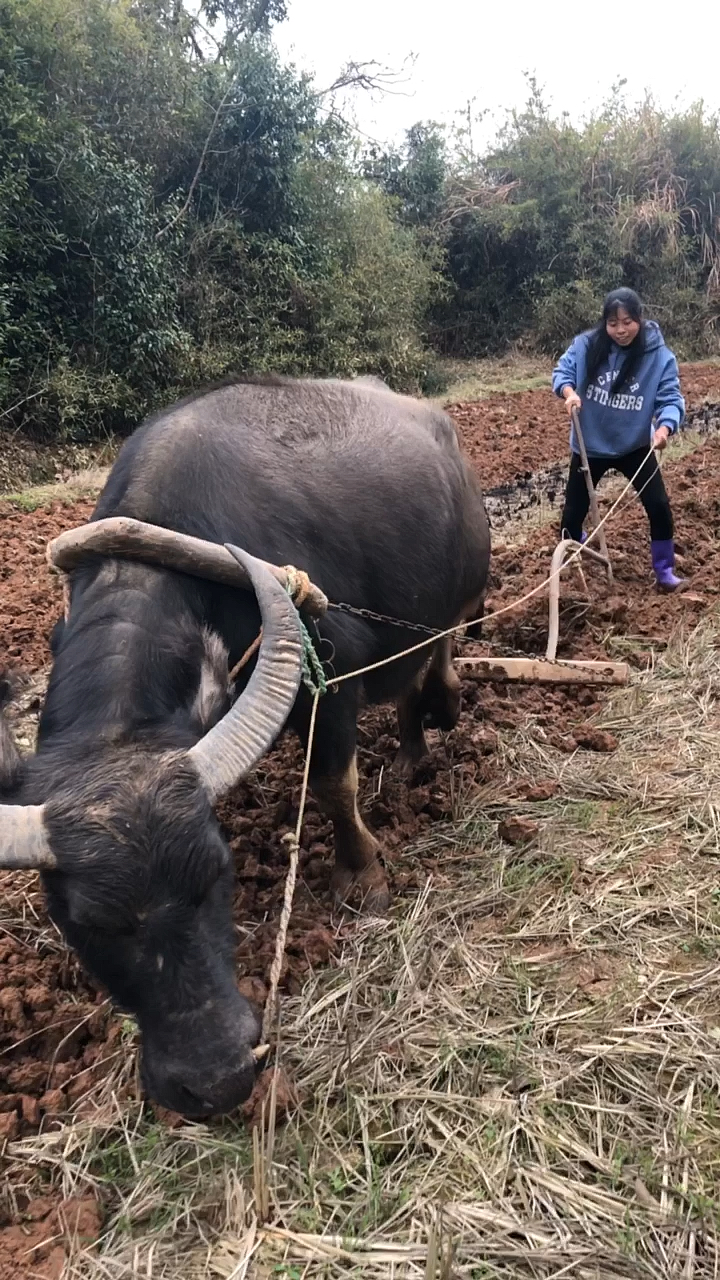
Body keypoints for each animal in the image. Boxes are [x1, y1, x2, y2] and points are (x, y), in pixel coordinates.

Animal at [0, 373, 486, 1116]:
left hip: (449, 603)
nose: (217, 1080)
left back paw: (427, 730)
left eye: (216, 877)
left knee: (429, 663)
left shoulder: (334, 669)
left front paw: (362, 875)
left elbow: (333, 782)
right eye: (83, 924)